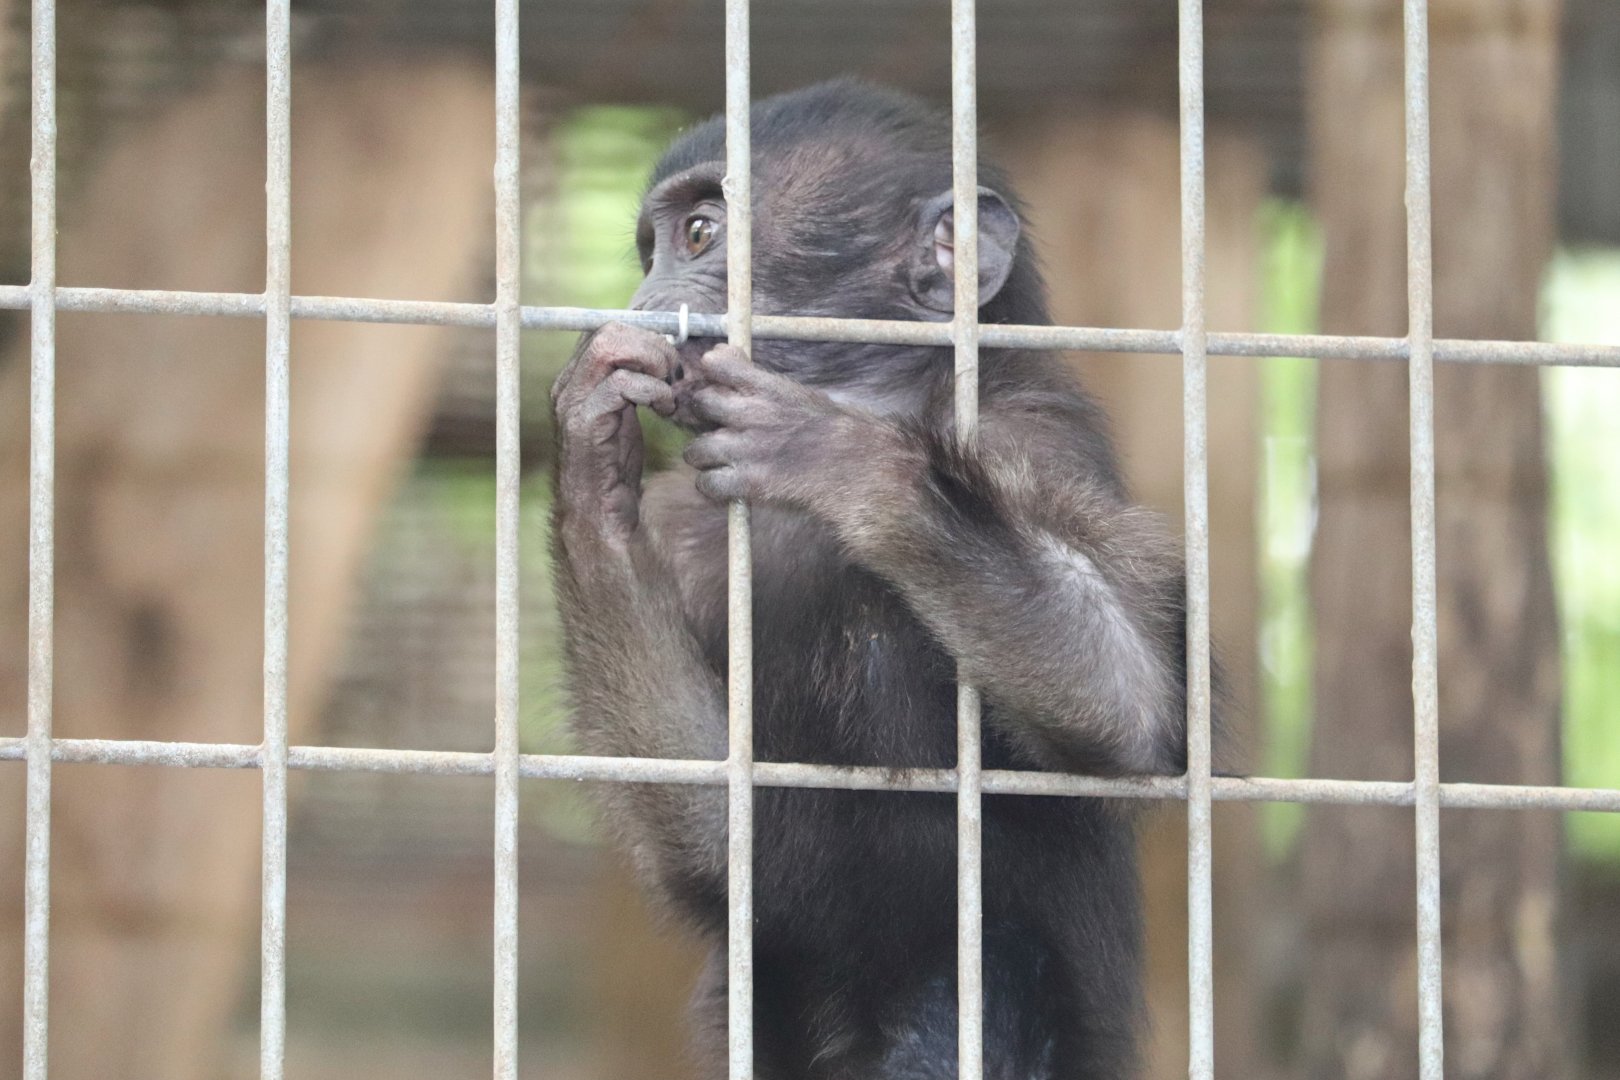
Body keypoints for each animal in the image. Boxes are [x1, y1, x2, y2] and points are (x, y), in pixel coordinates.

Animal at [549, 79, 1190, 1080]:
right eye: (653, 249)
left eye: (700, 233)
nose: (644, 296)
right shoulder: (683, 529)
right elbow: (723, 843)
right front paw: (588, 452)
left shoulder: (1033, 438)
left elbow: (1128, 711)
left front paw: (836, 454)